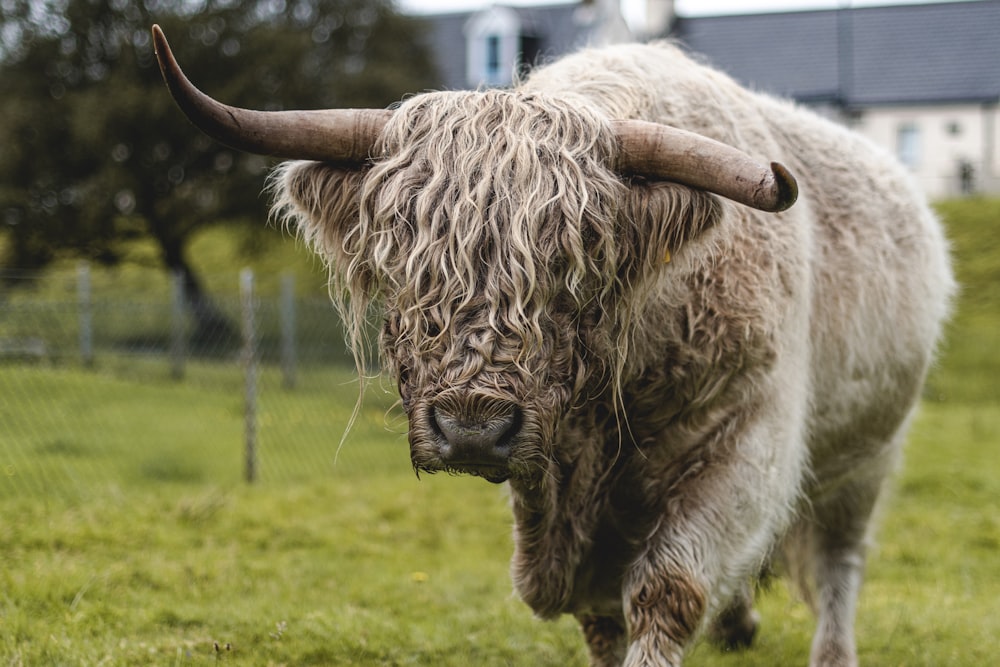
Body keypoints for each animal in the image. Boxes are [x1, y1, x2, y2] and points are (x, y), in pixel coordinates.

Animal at [150, 26, 952, 667]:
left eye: (576, 267)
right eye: (405, 266)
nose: (472, 427)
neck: (608, 411)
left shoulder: (747, 439)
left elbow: (667, 591)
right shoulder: (561, 501)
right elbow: (596, 613)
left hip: (869, 453)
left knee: (840, 561)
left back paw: (833, 652)